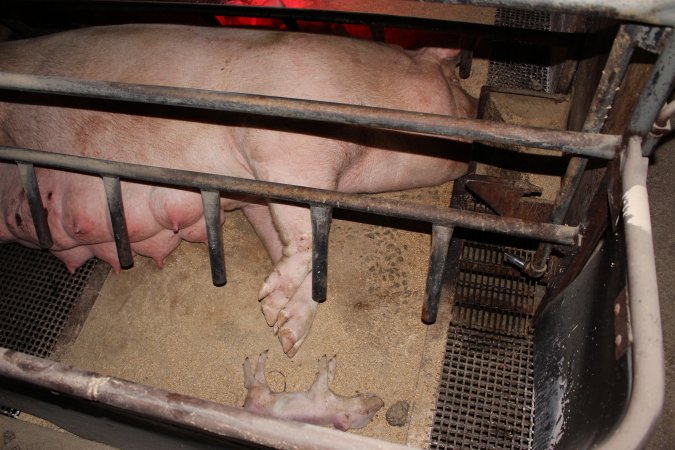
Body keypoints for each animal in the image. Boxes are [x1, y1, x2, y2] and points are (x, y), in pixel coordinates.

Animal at [0, 22, 476, 356]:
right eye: (454, 82)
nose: (477, 109)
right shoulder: (288, 151)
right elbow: (309, 237)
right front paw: (271, 300)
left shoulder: (257, 192)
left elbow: (296, 246)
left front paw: (283, 330)